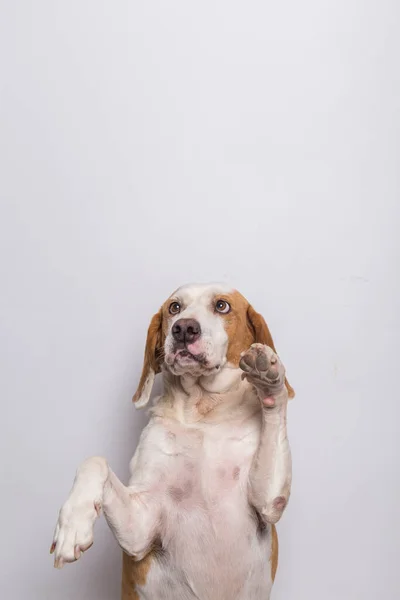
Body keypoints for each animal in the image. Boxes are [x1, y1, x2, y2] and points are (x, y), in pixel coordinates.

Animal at [50, 282, 294, 600]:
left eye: (222, 306)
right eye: (174, 307)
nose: (184, 329)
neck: (203, 412)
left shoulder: (268, 501)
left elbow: (275, 408)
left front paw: (269, 378)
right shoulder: (140, 528)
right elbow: (95, 461)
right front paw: (73, 523)